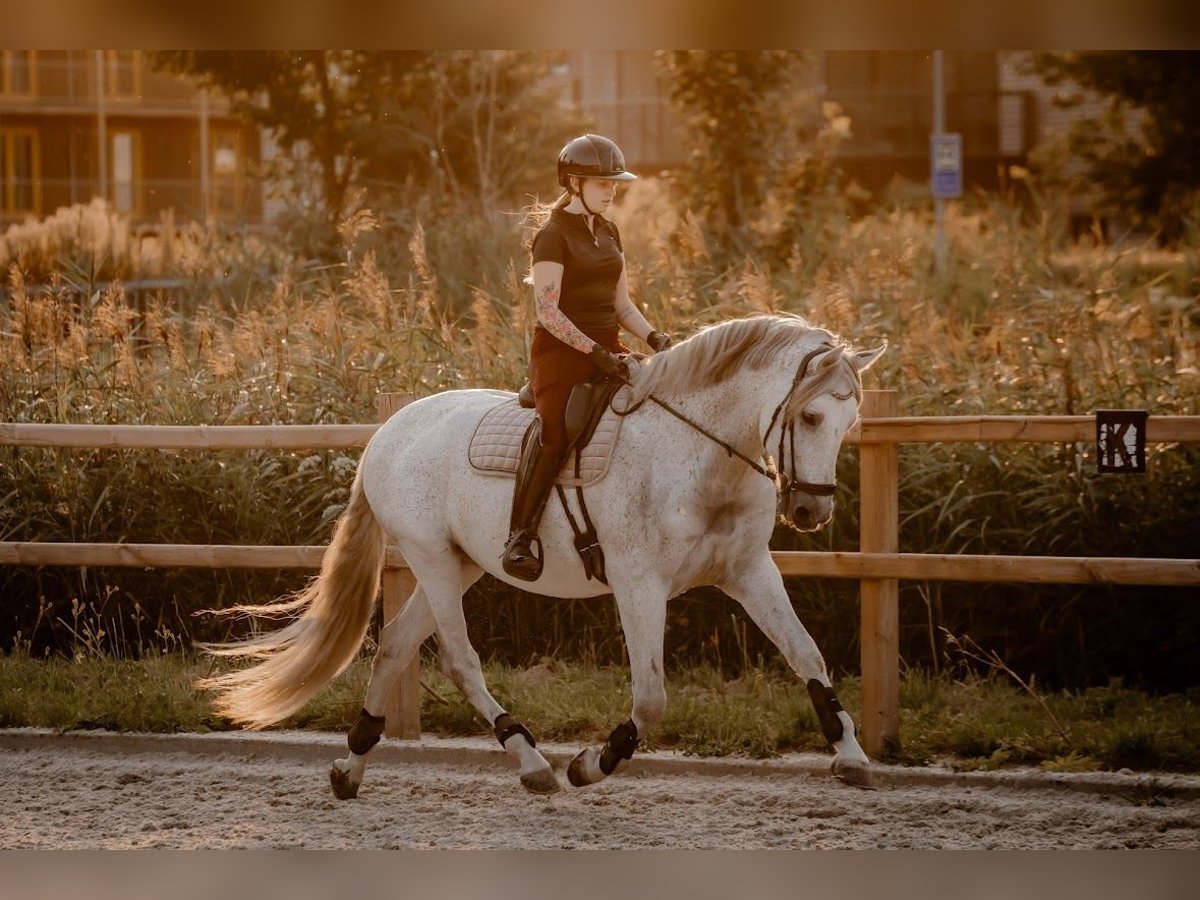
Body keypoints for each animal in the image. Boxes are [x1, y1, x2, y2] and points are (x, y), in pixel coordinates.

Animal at [201, 314, 888, 796]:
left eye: (849, 423)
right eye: (811, 416)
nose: (812, 512)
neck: (699, 453)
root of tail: (387, 433)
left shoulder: (748, 573)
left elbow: (807, 654)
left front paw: (850, 754)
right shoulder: (639, 584)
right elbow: (651, 697)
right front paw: (590, 764)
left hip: (459, 563)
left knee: (395, 644)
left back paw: (350, 769)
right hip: (431, 557)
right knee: (458, 660)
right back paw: (530, 761)